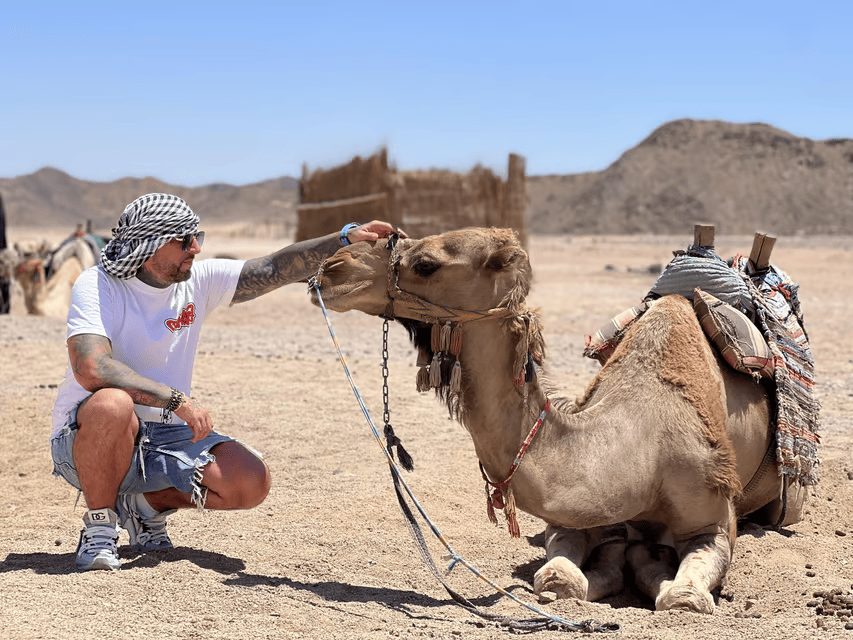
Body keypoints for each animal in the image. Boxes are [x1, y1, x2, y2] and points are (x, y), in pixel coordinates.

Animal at [310, 228, 807, 614]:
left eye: (426, 264)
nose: (333, 267)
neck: (642, 442)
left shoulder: (713, 521)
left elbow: (682, 597)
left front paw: (656, 569)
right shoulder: (574, 514)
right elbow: (559, 578)